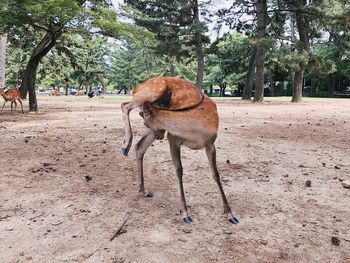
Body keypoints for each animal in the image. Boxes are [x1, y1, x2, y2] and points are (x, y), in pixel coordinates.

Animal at [119, 77, 238, 225]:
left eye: (145, 123)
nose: (159, 137)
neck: (196, 132)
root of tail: (136, 87)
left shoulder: (210, 143)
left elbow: (215, 174)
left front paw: (230, 214)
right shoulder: (173, 137)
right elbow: (179, 170)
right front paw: (185, 213)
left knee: (140, 146)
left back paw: (143, 190)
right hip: (152, 93)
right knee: (125, 105)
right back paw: (125, 145)